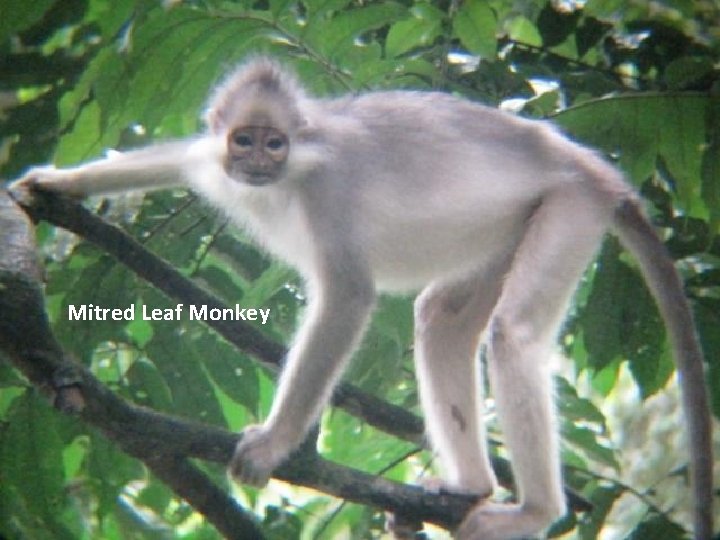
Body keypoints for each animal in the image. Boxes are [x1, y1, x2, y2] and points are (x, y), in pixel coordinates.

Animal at [8, 57, 712, 536]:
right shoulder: (207, 157)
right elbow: (155, 160)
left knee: (512, 333)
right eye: (245, 140)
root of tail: (597, 170)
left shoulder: (329, 190)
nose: (257, 162)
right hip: (513, 225)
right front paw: (53, 183)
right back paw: (472, 485)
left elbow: (348, 296)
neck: (283, 179)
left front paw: (277, 441)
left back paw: (534, 511)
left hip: (570, 206)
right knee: (439, 321)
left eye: (275, 143)